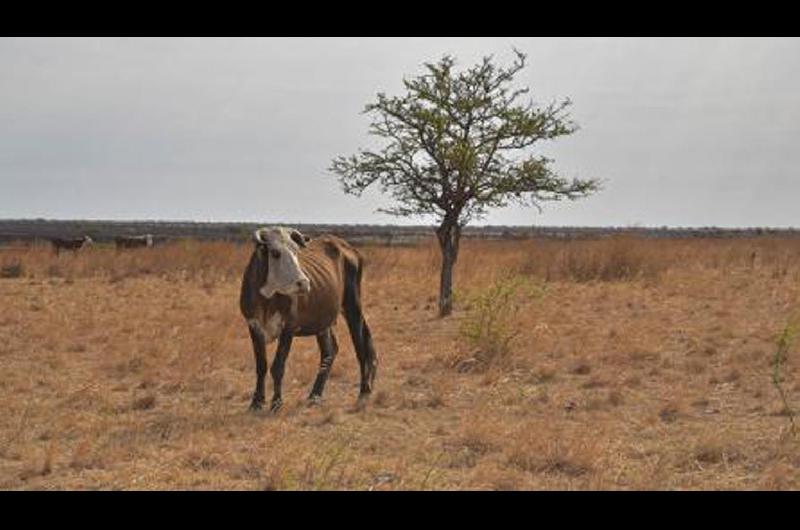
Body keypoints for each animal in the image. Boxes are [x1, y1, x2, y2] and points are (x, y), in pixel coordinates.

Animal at [238, 225, 378, 410]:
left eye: (296, 251)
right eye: (275, 253)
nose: (303, 283)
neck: (267, 298)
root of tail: (347, 247)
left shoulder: (288, 328)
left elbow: (278, 367)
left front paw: (276, 402)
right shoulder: (253, 326)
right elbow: (261, 366)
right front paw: (256, 402)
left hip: (352, 308)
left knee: (360, 349)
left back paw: (363, 392)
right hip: (324, 322)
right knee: (329, 351)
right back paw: (315, 395)